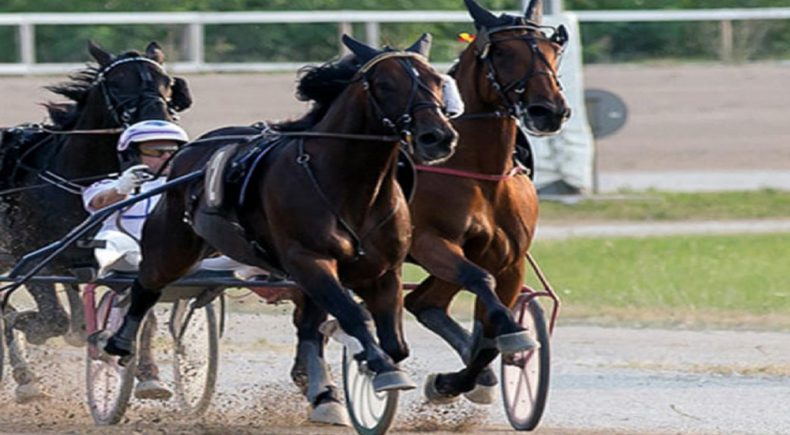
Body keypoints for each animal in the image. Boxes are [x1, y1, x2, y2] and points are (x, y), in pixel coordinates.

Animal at [0, 41, 193, 402]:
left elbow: (142, 314)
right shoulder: (31, 257)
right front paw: (29, 331)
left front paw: (149, 376)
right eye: (117, 83)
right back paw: (25, 375)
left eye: (167, 82)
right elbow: (51, 320)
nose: (158, 123)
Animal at [104, 34, 460, 422]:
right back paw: (118, 343)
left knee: (309, 327)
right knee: (145, 285)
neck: (349, 185)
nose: (437, 137)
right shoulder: (310, 260)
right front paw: (378, 368)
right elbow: (353, 316)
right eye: (385, 84)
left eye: (438, 80)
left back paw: (323, 394)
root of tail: (188, 152)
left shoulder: (383, 271)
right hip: (173, 245)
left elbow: (393, 341)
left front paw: (370, 377)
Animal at [408, 0, 568, 406]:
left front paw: (456, 380)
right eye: (501, 52)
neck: (478, 172)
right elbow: (480, 283)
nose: (549, 110)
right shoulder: (430, 242)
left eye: (554, 50)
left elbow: (491, 332)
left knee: (423, 303)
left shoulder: (508, 260)